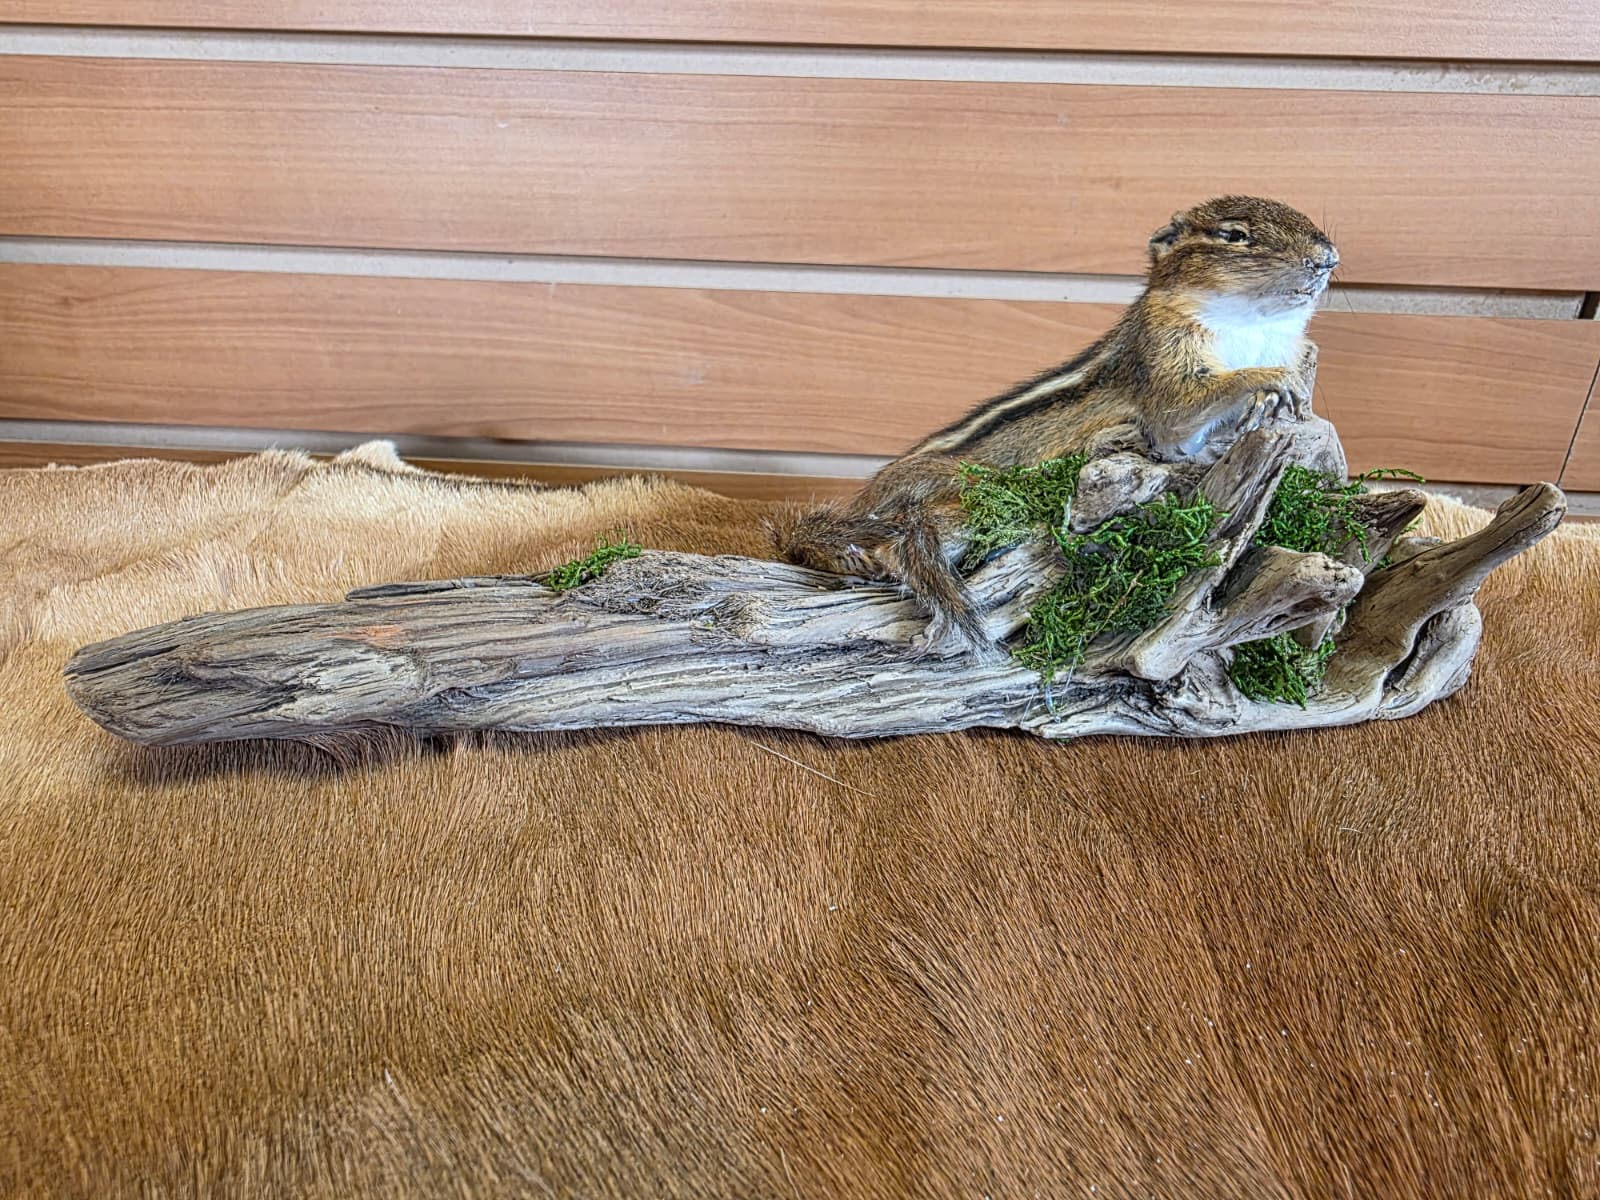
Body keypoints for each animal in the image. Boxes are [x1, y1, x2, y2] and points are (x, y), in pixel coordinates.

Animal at [777, 195, 1339, 649]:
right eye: (1234, 235)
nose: (1328, 257)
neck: (1254, 328)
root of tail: (866, 500)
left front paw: (1271, 405)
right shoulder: (1164, 359)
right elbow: (1181, 411)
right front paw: (1269, 380)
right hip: (965, 505)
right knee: (892, 546)